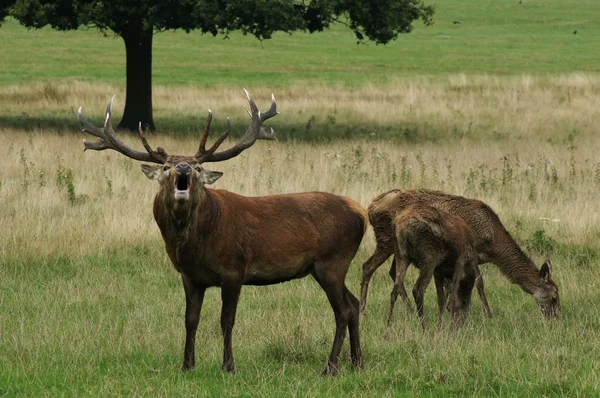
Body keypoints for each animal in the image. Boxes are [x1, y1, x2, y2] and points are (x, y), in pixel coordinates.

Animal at [77, 91, 368, 376]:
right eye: (166, 167)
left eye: (198, 167)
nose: (183, 168)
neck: (196, 247)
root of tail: (361, 212)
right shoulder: (190, 276)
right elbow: (190, 319)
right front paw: (187, 365)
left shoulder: (234, 269)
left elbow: (226, 320)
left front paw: (228, 366)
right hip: (327, 267)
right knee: (354, 305)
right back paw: (357, 363)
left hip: (332, 261)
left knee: (343, 310)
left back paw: (330, 368)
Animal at [360, 189, 564, 320]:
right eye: (554, 296)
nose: (557, 318)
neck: (493, 244)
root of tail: (371, 207)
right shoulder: (471, 252)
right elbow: (479, 283)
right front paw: (487, 314)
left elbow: (452, 285)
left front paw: (450, 307)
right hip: (385, 239)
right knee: (367, 266)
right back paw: (364, 310)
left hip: (399, 249)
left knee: (392, 272)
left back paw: (408, 310)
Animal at [384, 204, 478, 334]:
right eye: (465, 310)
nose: (459, 327)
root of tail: (401, 226)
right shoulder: (460, 263)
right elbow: (452, 298)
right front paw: (449, 331)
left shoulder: (438, 271)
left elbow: (441, 300)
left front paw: (440, 328)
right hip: (429, 258)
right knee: (417, 290)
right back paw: (425, 329)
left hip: (401, 255)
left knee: (395, 290)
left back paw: (387, 328)